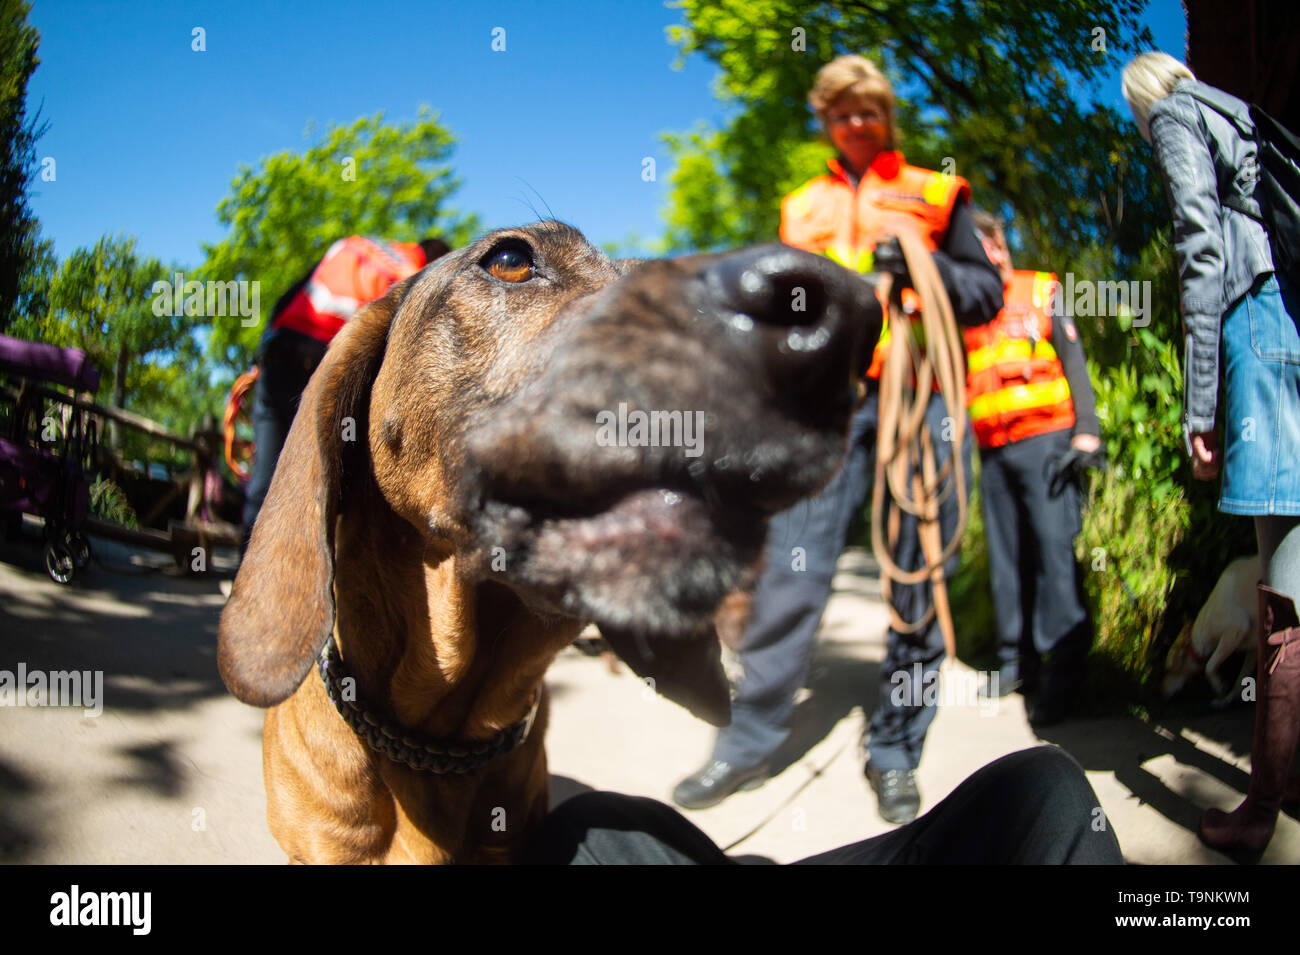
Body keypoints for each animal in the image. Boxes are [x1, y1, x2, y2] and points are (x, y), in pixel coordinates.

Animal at [1170, 556, 1258, 706]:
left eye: (1168, 671)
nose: (1162, 693)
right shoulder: (1252, 649)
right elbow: (1241, 680)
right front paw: (1227, 700)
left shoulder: (1236, 628)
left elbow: (1209, 666)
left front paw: (1220, 688)